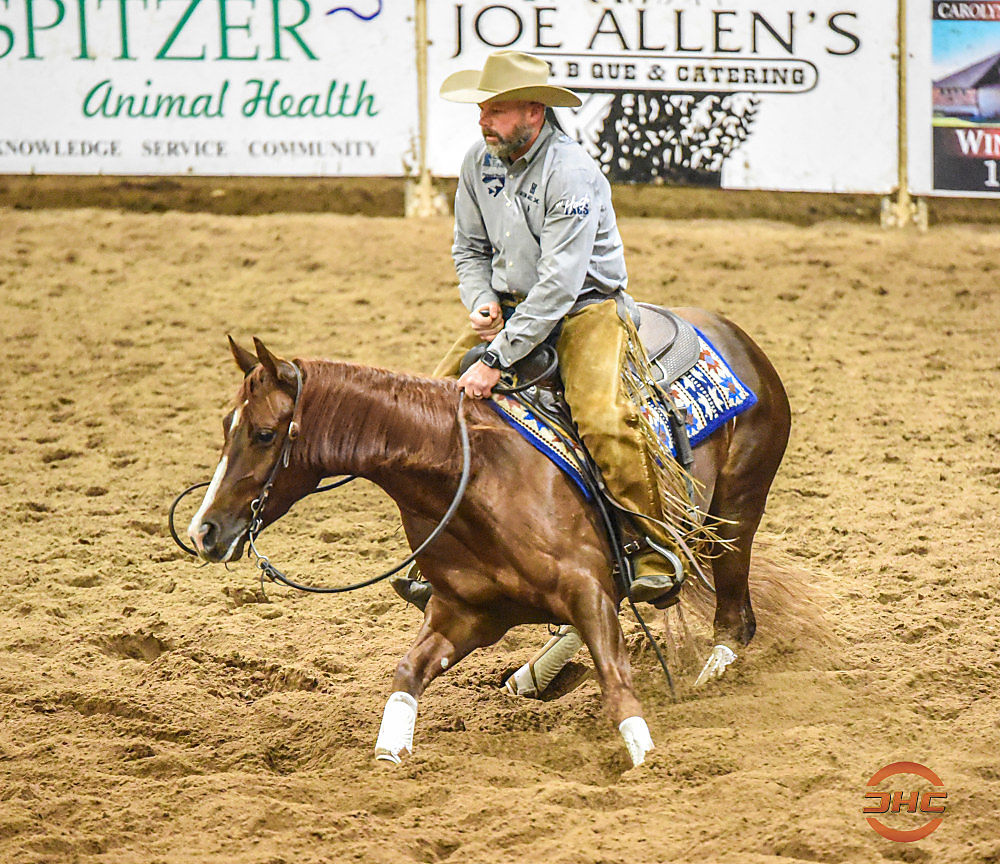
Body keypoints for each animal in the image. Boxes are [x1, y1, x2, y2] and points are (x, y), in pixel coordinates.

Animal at [186, 308, 790, 768]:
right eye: (224, 425)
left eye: (265, 433)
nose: (204, 530)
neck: (473, 473)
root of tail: (737, 336)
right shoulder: (466, 612)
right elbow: (407, 673)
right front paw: (389, 754)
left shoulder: (587, 589)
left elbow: (617, 683)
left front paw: (647, 763)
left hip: (736, 512)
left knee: (735, 617)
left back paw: (709, 675)